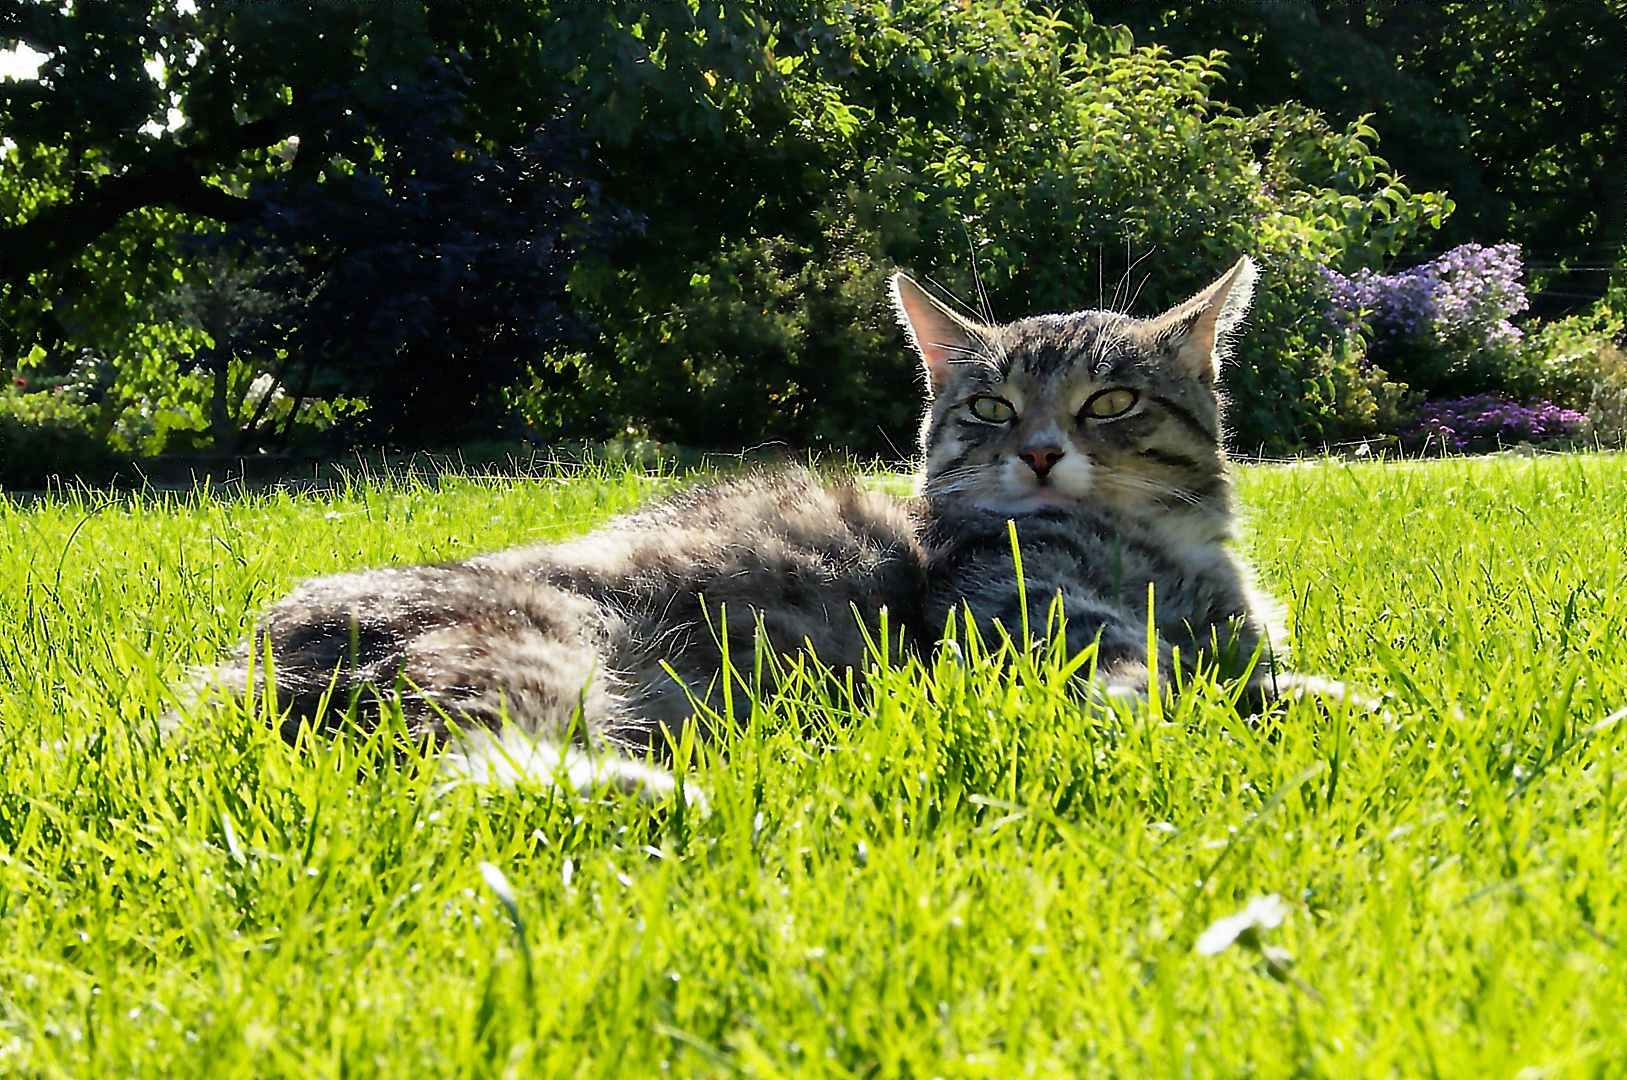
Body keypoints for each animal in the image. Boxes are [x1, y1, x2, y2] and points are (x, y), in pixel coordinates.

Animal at [193, 253, 1308, 793]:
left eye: (1108, 403)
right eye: (990, 409)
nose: (1037, 453)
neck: (1158, 553)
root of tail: (247, 660)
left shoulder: (1235, 638)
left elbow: (1259, 671)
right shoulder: (1020, 619)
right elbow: (1144, 677)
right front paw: (1211, 715)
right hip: (524, 651)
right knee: (468, 774)